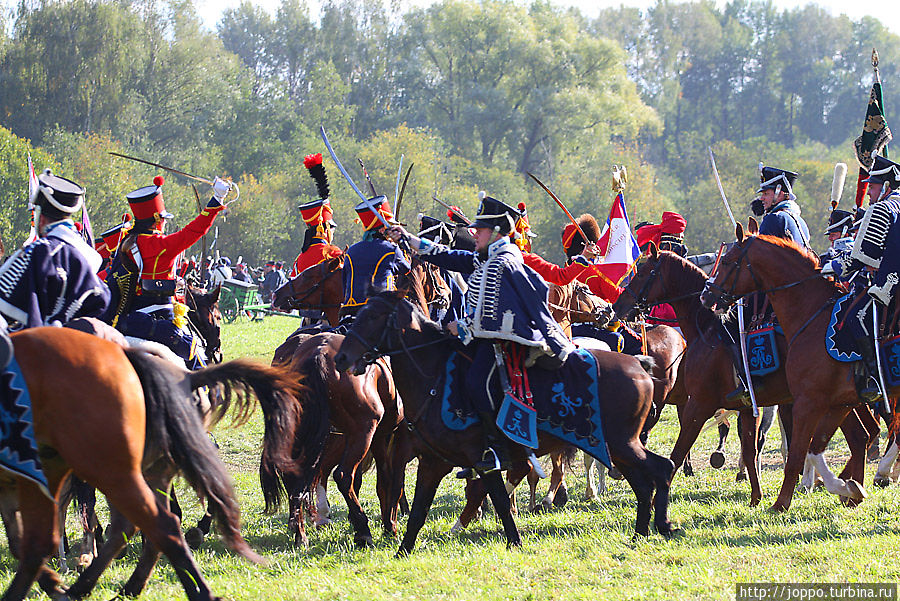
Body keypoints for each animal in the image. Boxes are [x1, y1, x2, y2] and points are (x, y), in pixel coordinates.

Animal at [334, 290, 672, 552]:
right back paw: (641, 531)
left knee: (662, 469)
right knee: (644, 482)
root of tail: (639, 364)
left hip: (621, 444)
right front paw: (403, 550)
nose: (341, 358)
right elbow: (418, 510)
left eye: (373, 317)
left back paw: (663, 524)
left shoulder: (482, 458)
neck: (436, 375)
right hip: (618, 447)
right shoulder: (432, 462)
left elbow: (495, 496)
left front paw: (514, 540)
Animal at [704, 225, 880, 510]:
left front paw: (781, 502)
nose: (706, 295)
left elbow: (796, 451)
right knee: (862, 436)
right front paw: (846, 488)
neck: (812, 313)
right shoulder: (833, 401)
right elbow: (812, 447)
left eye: (729, 260)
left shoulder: (807, 402)